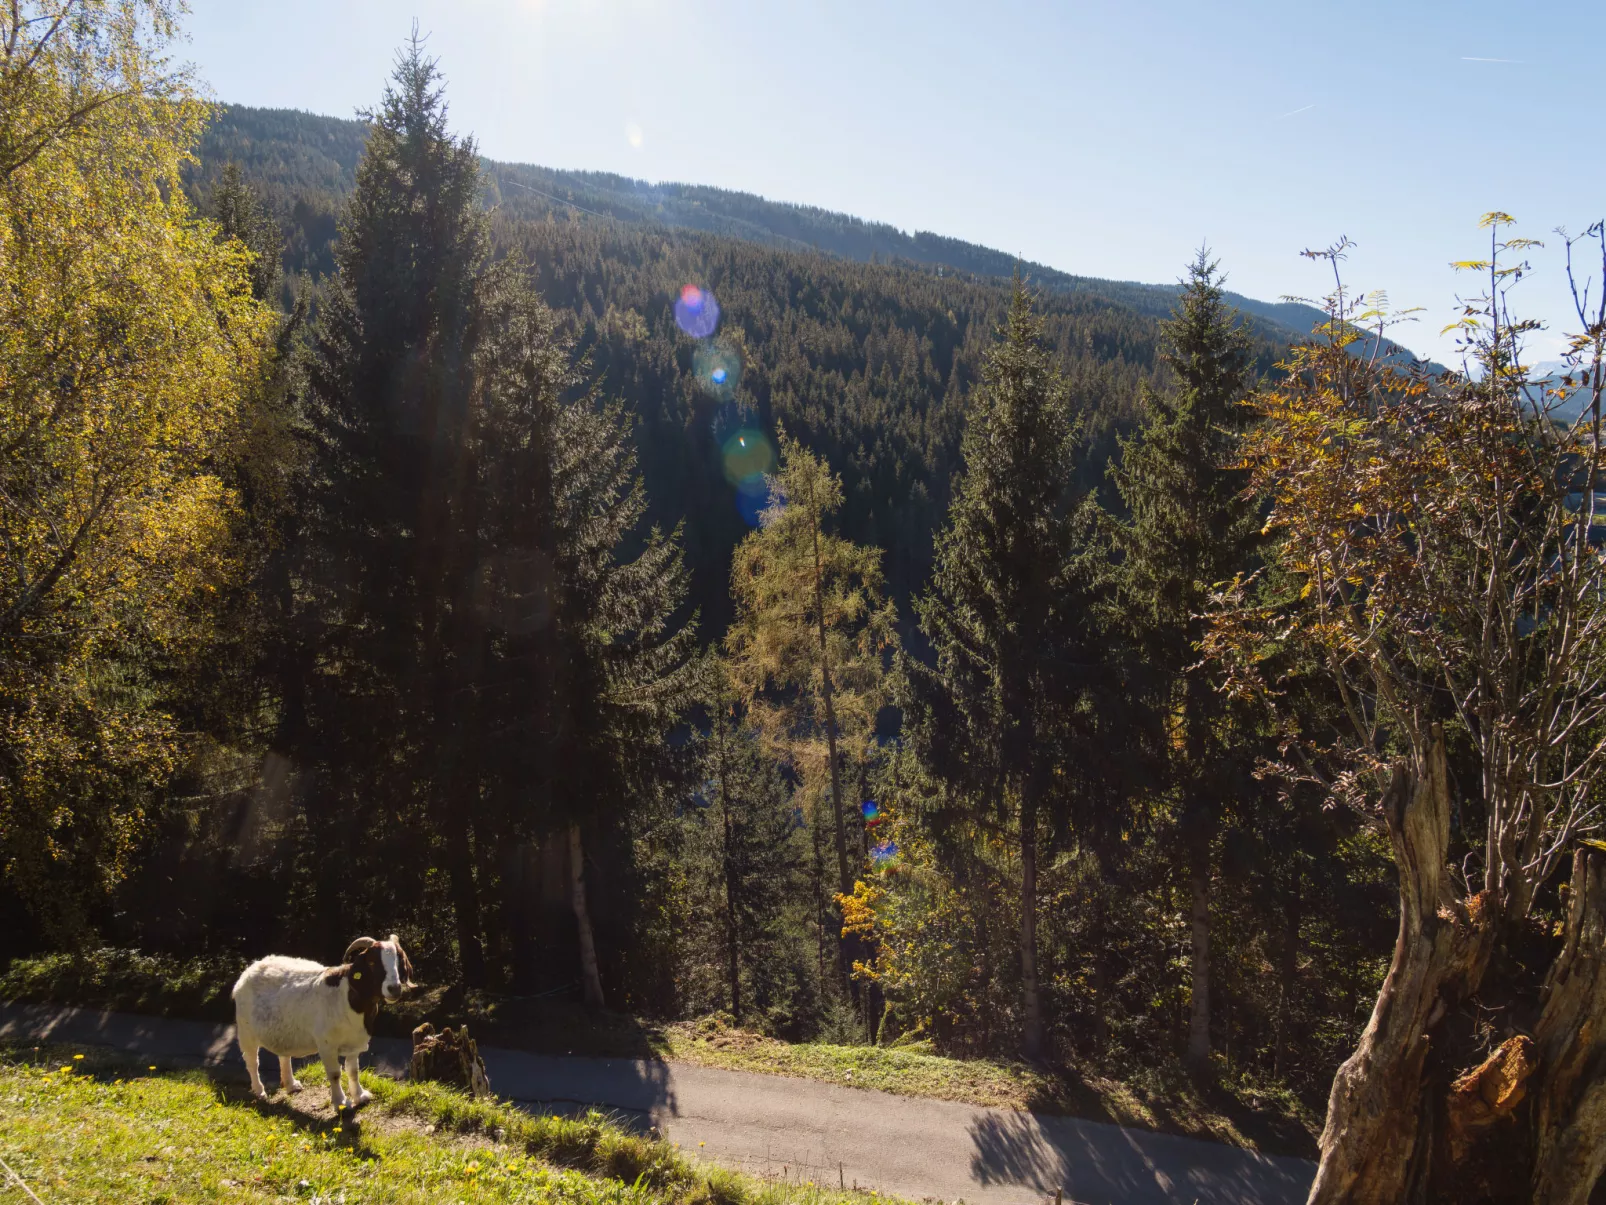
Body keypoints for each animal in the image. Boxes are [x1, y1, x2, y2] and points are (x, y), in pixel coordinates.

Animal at [229, 938, 414, 1111]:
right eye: (372, 962)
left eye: (399, 960)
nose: (394, 988)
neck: (349, 998)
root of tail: (250, 970)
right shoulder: (327, 1044)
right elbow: (335, 1074)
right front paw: (341, 1103)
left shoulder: (354, 1043)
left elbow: (353, 1071)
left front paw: (360, 1096)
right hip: (246, 1030)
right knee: (252, 1061)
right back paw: (259, 1091)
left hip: (283, 1030)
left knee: (284, 1055)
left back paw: (291, 1085)